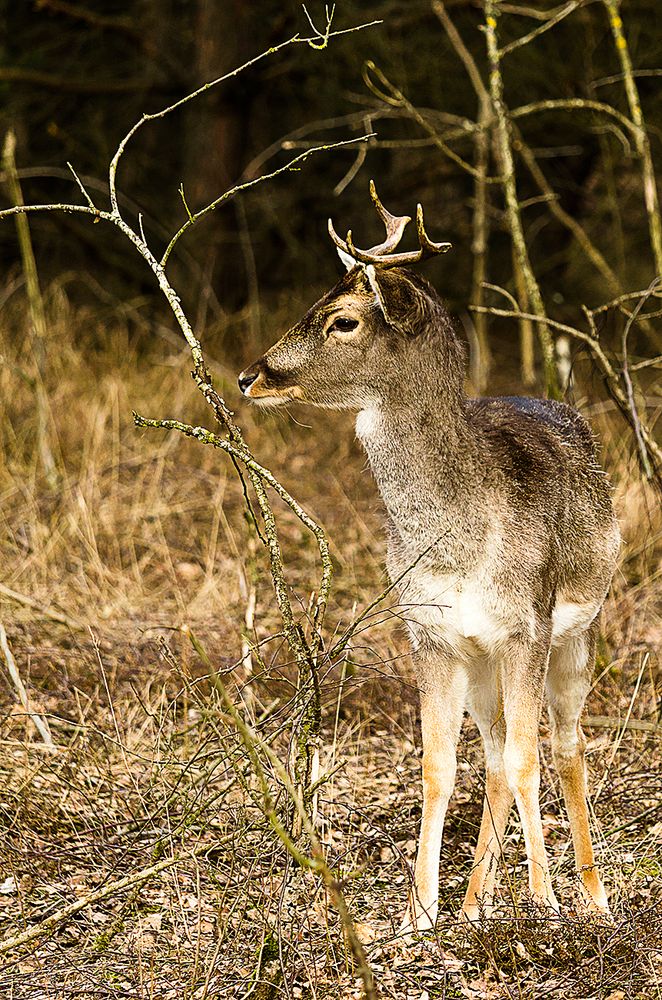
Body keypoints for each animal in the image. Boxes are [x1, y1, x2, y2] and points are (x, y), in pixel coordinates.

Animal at [239, 184, 624, 932]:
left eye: (344, 320)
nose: (249, 375)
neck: (458, 537)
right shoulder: (431, 631)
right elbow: (439, 766)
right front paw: (422, 910)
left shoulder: (526, 625)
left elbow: (530, 761)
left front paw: (543, 900)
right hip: (480, 659)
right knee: (496, 753)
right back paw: (479, 901)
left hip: (578, 631)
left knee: (564, 747)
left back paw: (591, 896)